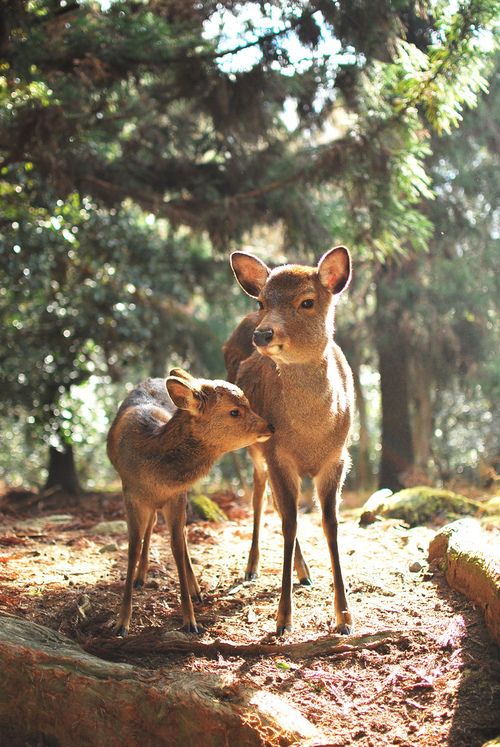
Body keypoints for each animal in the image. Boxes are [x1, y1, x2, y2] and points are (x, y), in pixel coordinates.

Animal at [107, 370, 276, 636]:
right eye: (234, 411)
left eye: (248, 403)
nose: (270, 426)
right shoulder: (130, 495)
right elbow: (132, 548)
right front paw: (121, 622)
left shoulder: (176, 496)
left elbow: (177, 547)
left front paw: (190, 620)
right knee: (151, 525)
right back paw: (140, 577)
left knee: (177, 534)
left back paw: (195, 590)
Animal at [225, 248, 354, 636]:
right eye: (264, 300)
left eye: (307, 301)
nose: (263, 334)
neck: (311, 434)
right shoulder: (278, 453)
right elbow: (289, 523)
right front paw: (283, 619)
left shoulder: (338, 458)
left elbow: (330, 524)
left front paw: (344, 617)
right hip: (254, 443)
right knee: (260, 495)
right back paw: (252, 567)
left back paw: (305, 572)